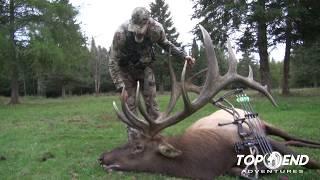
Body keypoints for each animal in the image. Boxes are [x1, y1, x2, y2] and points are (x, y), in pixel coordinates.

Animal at [99, 26, 318, 179]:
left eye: (138, 147)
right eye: (129, 141)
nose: (102, 157)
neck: (211, 161)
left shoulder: (259, 140)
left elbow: (312, 162)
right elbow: (244, 171)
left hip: (266, 123)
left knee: (291, 137)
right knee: (291, 140)